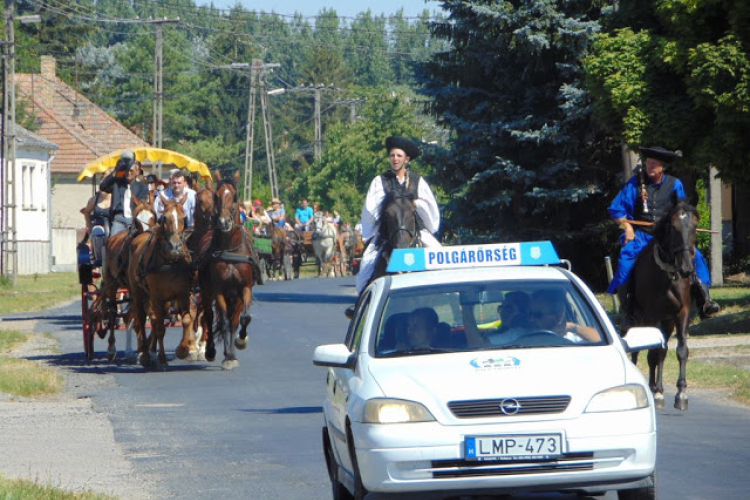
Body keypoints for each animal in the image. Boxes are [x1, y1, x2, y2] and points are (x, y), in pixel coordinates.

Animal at [128, 197, 195, 370]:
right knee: (141, 318)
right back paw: (145, 354)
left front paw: (183, 349)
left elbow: (186, 319)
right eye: (164, 218)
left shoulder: (183, 293)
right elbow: (159, 328)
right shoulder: (156, 297)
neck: (169, 262)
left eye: (184, 218)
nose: (175, 246)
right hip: (138, 292)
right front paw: (162, 358)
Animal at [207, 174, 262, 370]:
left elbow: (243, 319)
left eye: (235, 196)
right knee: (210, 317)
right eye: (216, 196)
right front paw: (228, 356)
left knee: (234, 321)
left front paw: (240, 342)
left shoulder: (244, 289)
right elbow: (223, 322)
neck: (231, 249)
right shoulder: (218, 291)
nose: (224, 222)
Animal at [624, 200, 704, 410]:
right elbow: (653, 352)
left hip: (666, 323)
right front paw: (656, 392)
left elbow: (680, 350)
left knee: (661, 351)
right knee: (639, 351)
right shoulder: (652, 316)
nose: (686, 268)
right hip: (635, 321)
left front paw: (681, 393)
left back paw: (657, 388)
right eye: (673, 227)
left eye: (694, 226)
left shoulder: (682, 313)